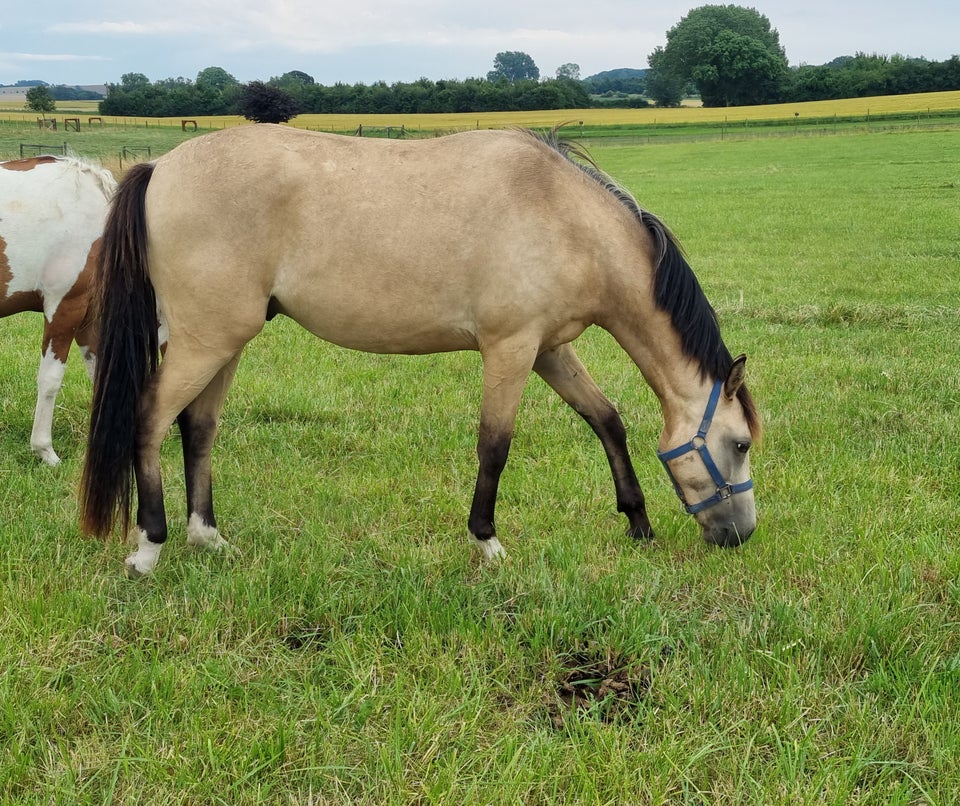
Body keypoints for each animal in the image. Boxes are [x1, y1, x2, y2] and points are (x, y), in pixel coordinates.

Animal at [79, 126, 760, 576]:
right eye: (740, 444)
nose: (741, 535)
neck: (564, 216)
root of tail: (161, 167)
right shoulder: (510, 349)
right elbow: (495, 446)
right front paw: (486, 542)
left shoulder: (547, 350)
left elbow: (606, 420)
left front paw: (638, 522)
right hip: (205, 340)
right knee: (150, 419)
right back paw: (150, 546)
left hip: (226, 340)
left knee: (198, 426)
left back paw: (208, 538)